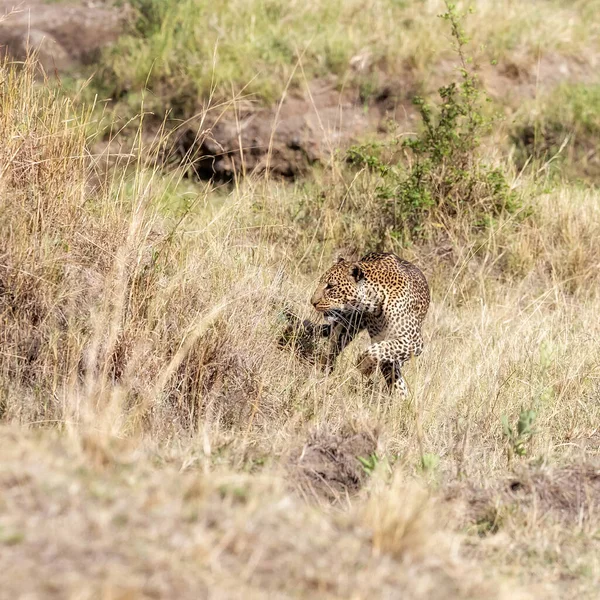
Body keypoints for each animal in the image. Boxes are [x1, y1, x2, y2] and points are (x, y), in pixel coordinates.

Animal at [310, 252, 432, 396]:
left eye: (331, 286)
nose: (313, 302)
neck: (374, 302)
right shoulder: (381, 339)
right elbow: (383, 357)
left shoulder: (413, 341)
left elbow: (379, 351)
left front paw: (365, 366)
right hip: (348, 325)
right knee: (333, 347)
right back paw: (323, 368)